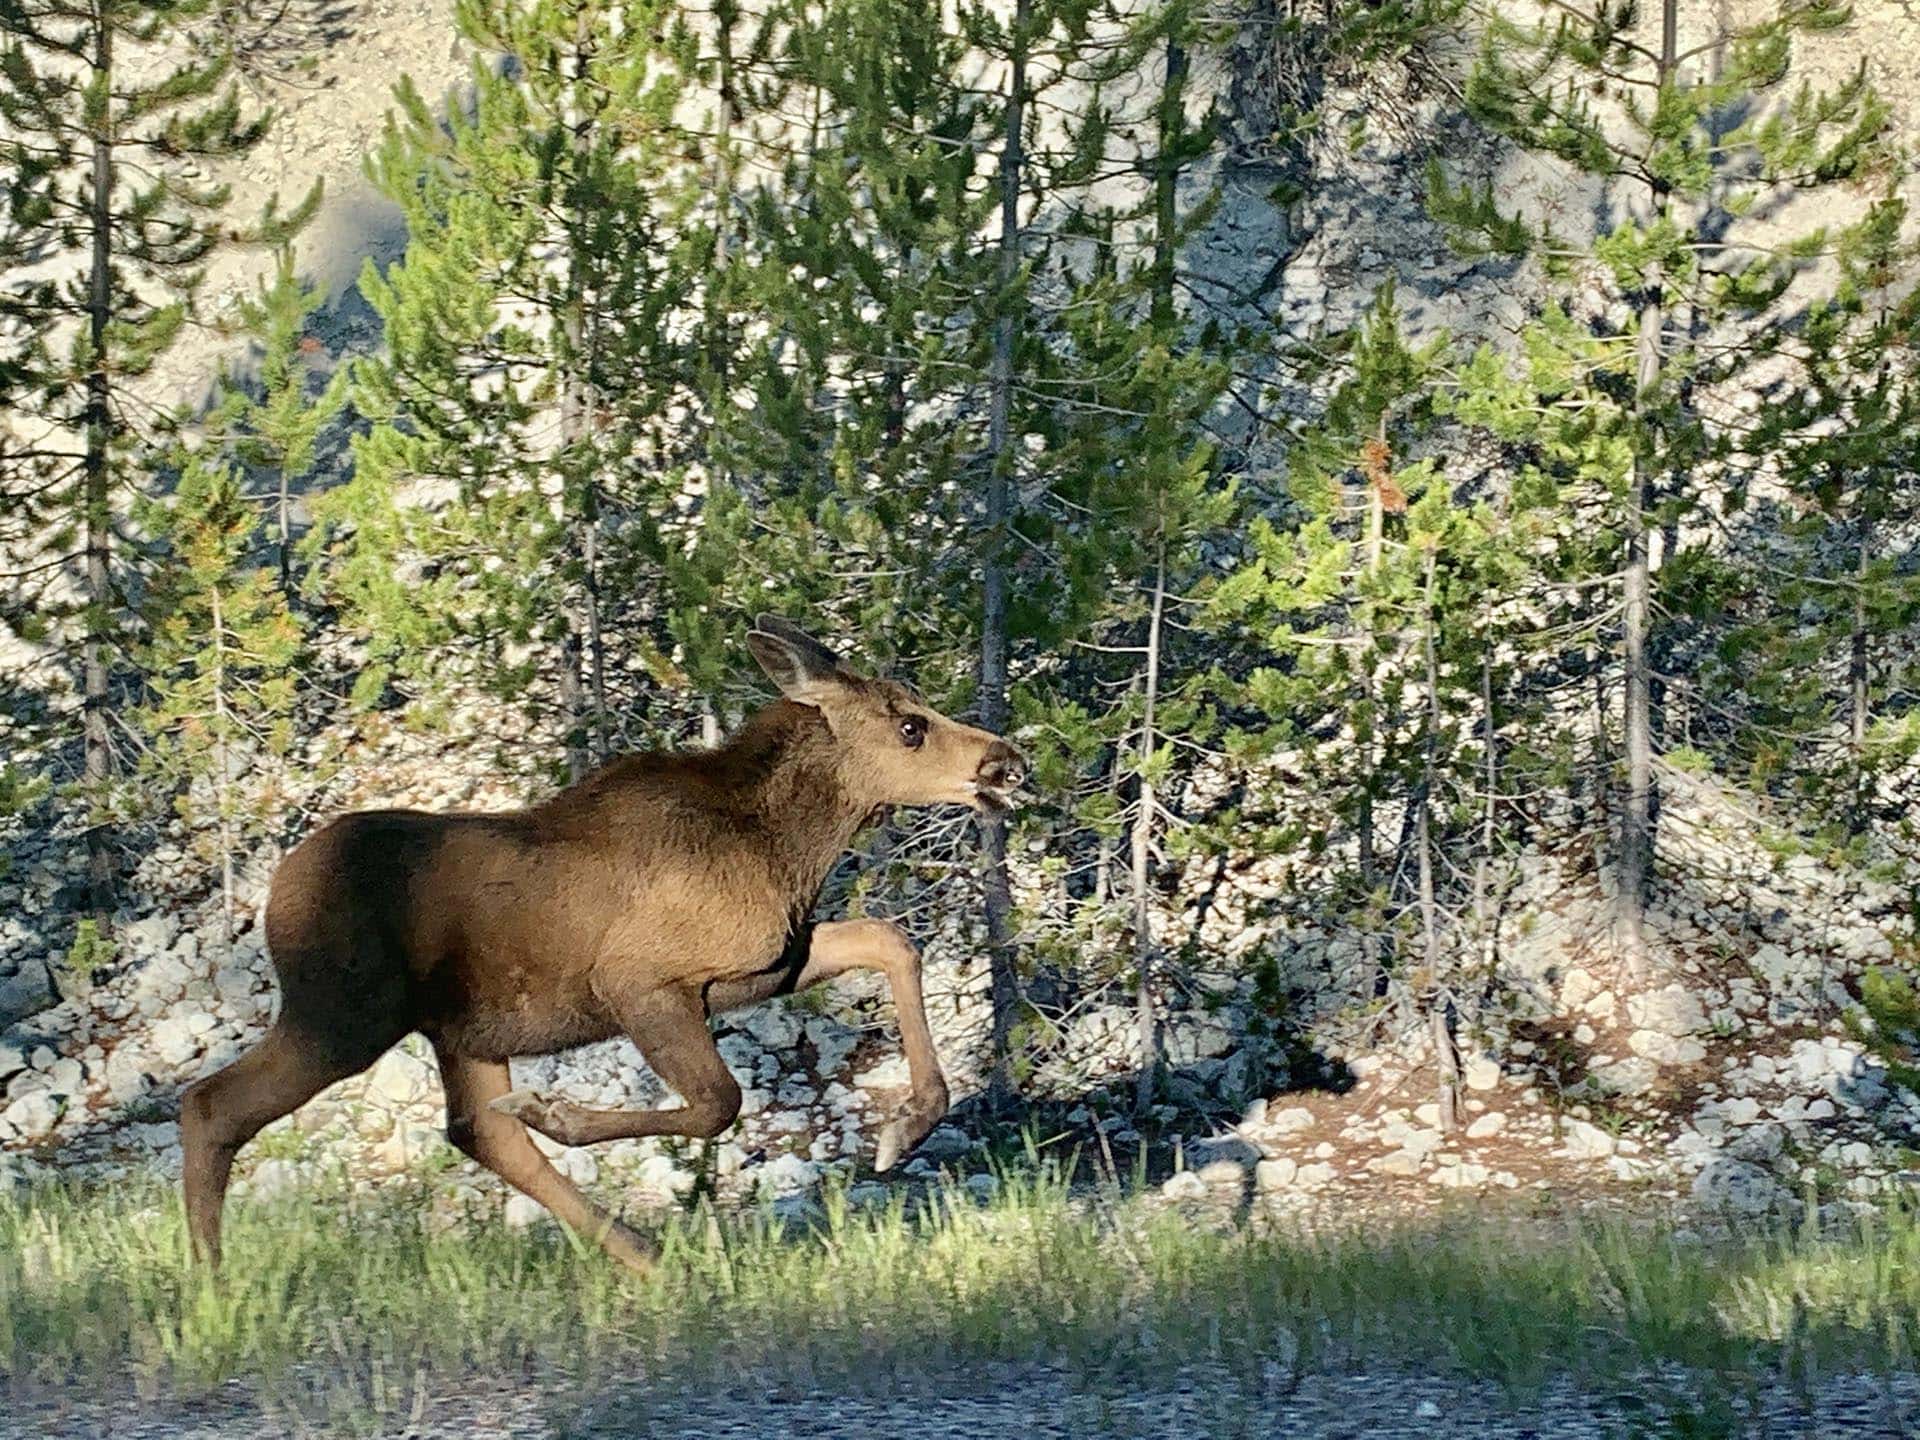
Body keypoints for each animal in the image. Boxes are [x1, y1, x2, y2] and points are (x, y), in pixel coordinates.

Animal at [179, 617, 1026, 1271]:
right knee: (211, 1103)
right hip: (343, 1013)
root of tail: (276, 892)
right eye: (910, 726)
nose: (1006, 762)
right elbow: (718, 1101)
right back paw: (210, 1283)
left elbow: (890, 941)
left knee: (481, 1131)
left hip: (462, 1029)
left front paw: (906, 1127)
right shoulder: (639, 979)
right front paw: (561, 1113)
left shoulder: (772, 963)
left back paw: (641, 1254)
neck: (789, 849)